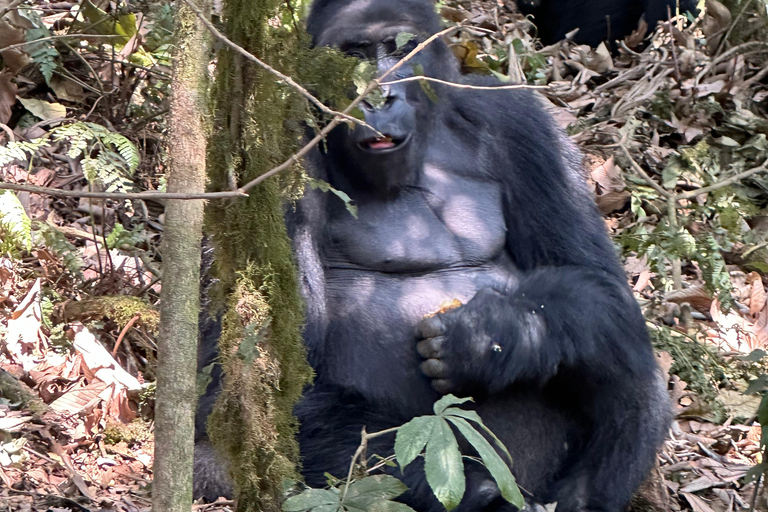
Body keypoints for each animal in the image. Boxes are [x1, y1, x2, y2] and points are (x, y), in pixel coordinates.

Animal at [194, 2, 672, 510]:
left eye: (400, 49)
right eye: (353, 54)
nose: (378, 96)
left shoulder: (519, 120)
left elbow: (593, 277)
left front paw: (491, 337)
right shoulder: (274, 150)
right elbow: (264, 381)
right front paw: (482, 497)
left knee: (622, 351)